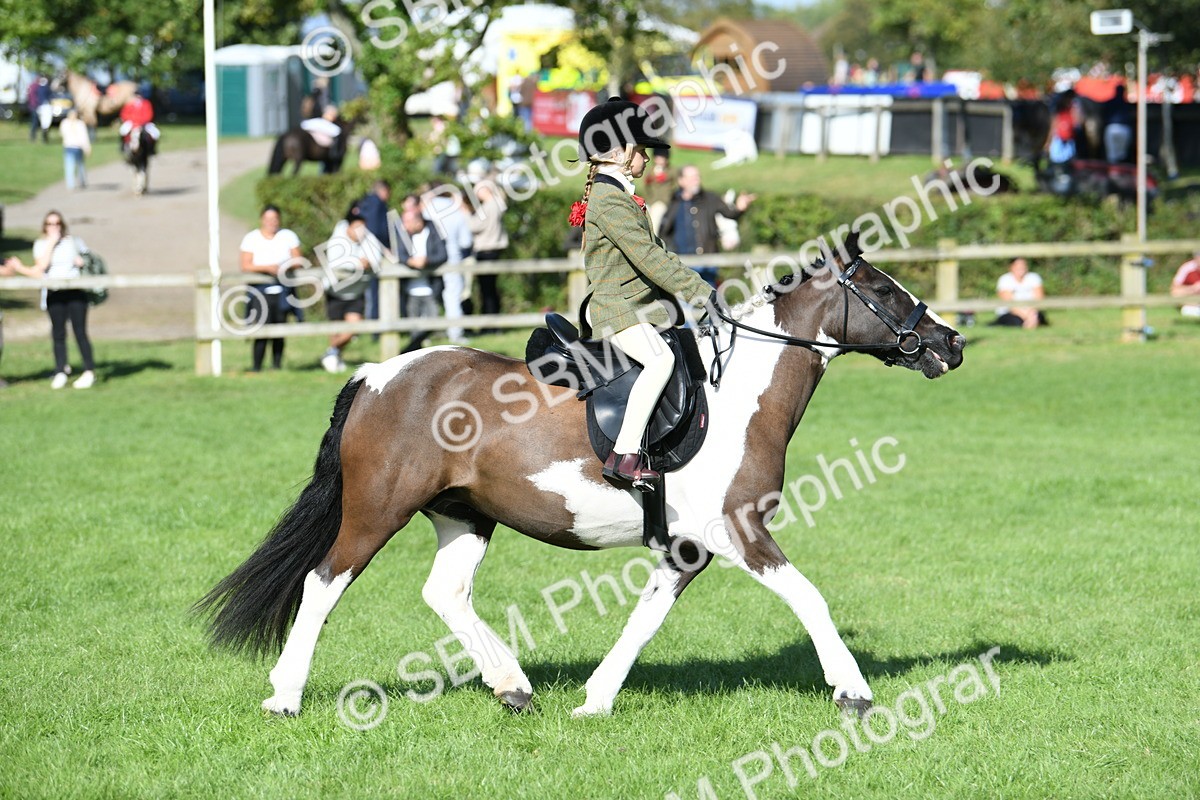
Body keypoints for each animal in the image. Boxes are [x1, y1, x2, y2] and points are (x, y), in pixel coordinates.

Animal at [196, 236, 966, 718]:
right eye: (884, 290)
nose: (951, 343)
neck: (740, 391)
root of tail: (378, 373)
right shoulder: (741, 531)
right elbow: (810, 599)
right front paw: (854, 691)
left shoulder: (686, 549)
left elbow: (645, 620)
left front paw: (595, 699)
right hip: (376, 511)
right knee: (322, 584)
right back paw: (286, 696)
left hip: (465, 514)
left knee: (446, 593)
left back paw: (512, 687)